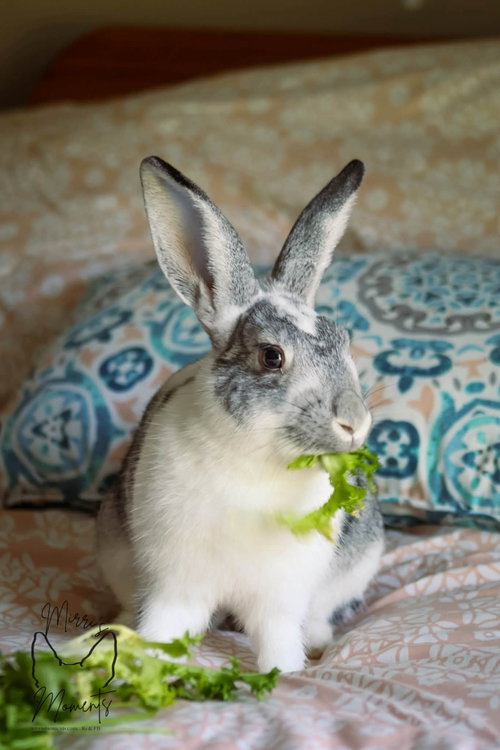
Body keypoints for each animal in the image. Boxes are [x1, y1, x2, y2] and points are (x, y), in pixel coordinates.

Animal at [96, 156, 384, 674]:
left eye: (345, 340)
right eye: (272, 356)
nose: (355, 422)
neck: (257, 456)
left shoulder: (279, 598)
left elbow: (278, 640)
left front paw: (287, 674)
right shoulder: (176, 584)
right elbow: (165, 627)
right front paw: (148, 667)